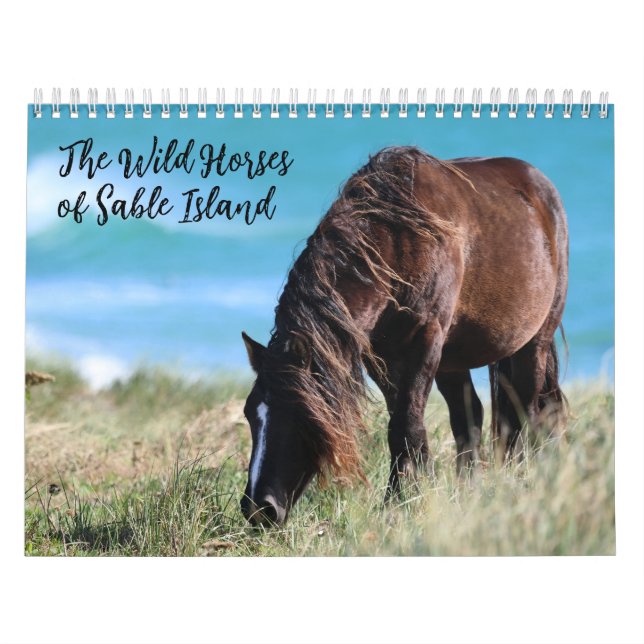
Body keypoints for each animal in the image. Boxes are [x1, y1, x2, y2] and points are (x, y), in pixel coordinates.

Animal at [239, 146, 568, 526]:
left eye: (301, 413)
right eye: (250, 414)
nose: (258, 508)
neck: (397, 243)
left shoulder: (424, 343)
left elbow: (405, 427)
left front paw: (397, 506)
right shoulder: (382, 357)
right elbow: (407, 427)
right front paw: (417, 496)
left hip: (533, 342)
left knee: (525, 411)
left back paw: (516, 481)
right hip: (455, 360)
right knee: (470, 417)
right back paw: (469, 490)